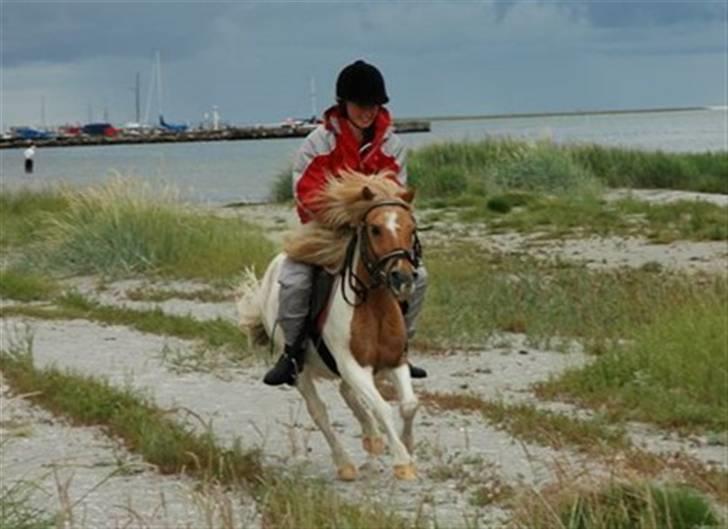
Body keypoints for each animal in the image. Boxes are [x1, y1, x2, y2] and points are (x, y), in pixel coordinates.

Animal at [239, 171, 420, 480]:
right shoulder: (352, 365)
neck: (374, 309)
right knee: (320, 411)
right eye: (375, 229)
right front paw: (402, 462)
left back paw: (372, 440)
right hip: (300, 370)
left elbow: (408, 405)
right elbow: (382, 407)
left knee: (348, 394)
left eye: (411, 227)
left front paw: (408, 446)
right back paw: (345, 463)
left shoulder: (395, 361)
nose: (402, 278)